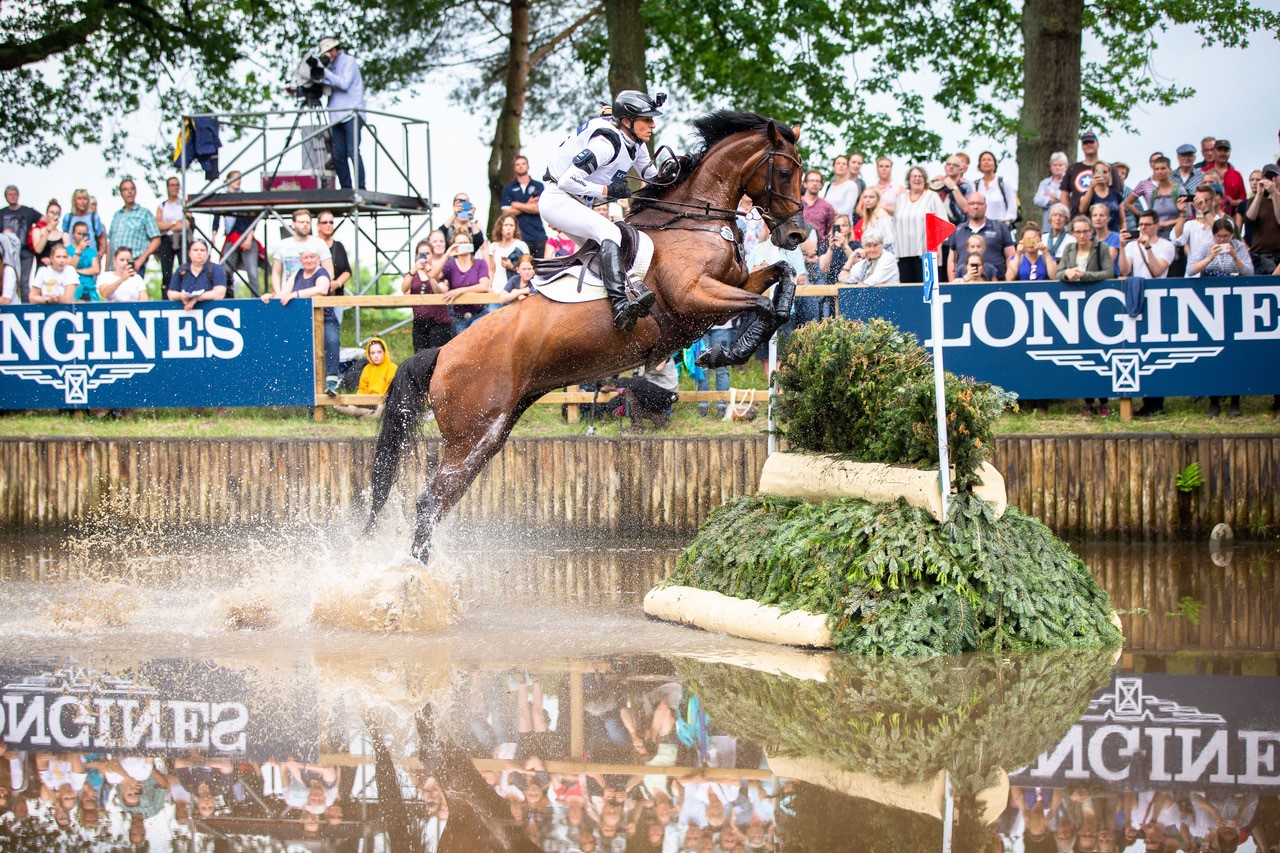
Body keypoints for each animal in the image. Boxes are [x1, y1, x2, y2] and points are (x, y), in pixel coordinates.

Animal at [366, 109, 803, 560]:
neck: (693, 220)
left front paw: (737, 344)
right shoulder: (693, 297)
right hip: (471, 436)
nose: (796, 234)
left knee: (437, 504)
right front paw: (726, 354)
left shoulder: (732, 284)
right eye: (786, 172)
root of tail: (443, 353)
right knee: (429, 503)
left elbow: (781, 280)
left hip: (488, 437)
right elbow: (763, 305)